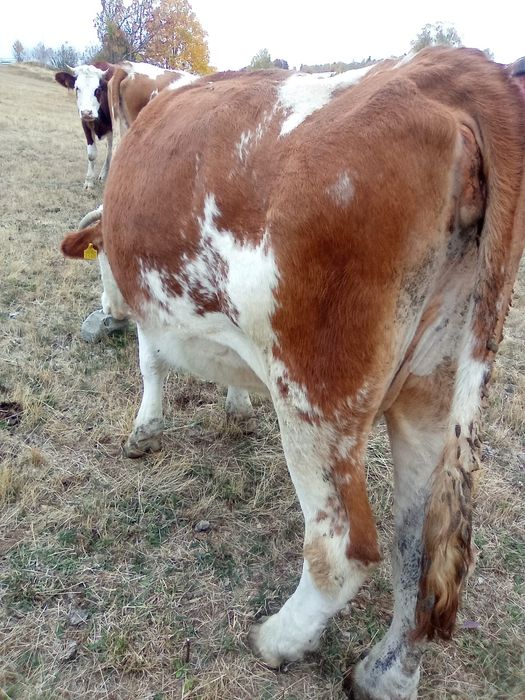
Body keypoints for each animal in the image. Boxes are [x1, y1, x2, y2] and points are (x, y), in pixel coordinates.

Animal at [61, 47, 525, 698]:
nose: (101, 319)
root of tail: (450, 69)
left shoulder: (155, 308)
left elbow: (150, 361)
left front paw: (144, 430)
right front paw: (234, 406)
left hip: (314, 391)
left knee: (343, 549)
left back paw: (278, 639)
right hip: (436, 386)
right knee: (419, 549)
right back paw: (384, 675)